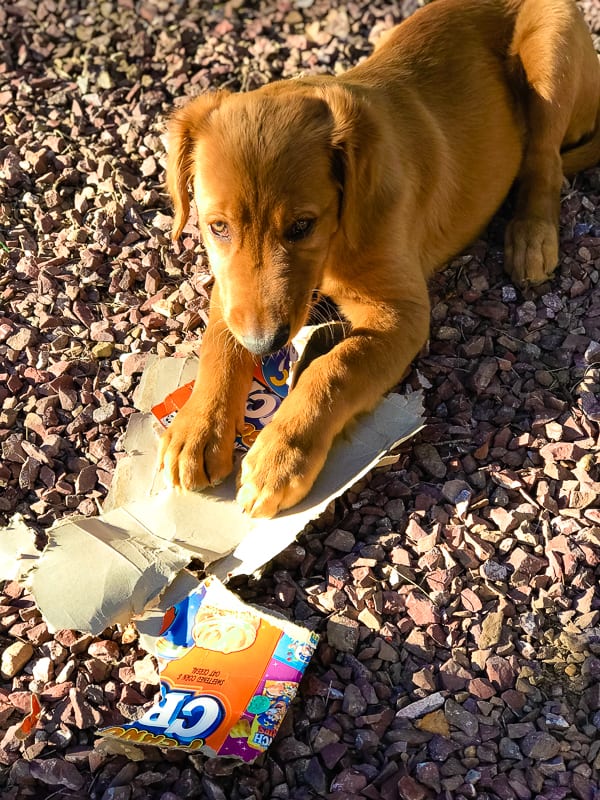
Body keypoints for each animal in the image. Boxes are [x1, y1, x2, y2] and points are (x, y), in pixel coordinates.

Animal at [161, 0, 600, 520]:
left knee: (544, 159)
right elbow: (218, 341)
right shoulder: (231, 290)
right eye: (218, 227)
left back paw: (532, 237)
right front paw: (198, 428)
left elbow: (335, 368)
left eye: (302, 226)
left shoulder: (402, 314)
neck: (337, 243)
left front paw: (279, 457)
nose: (265, 345)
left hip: (552, 51)